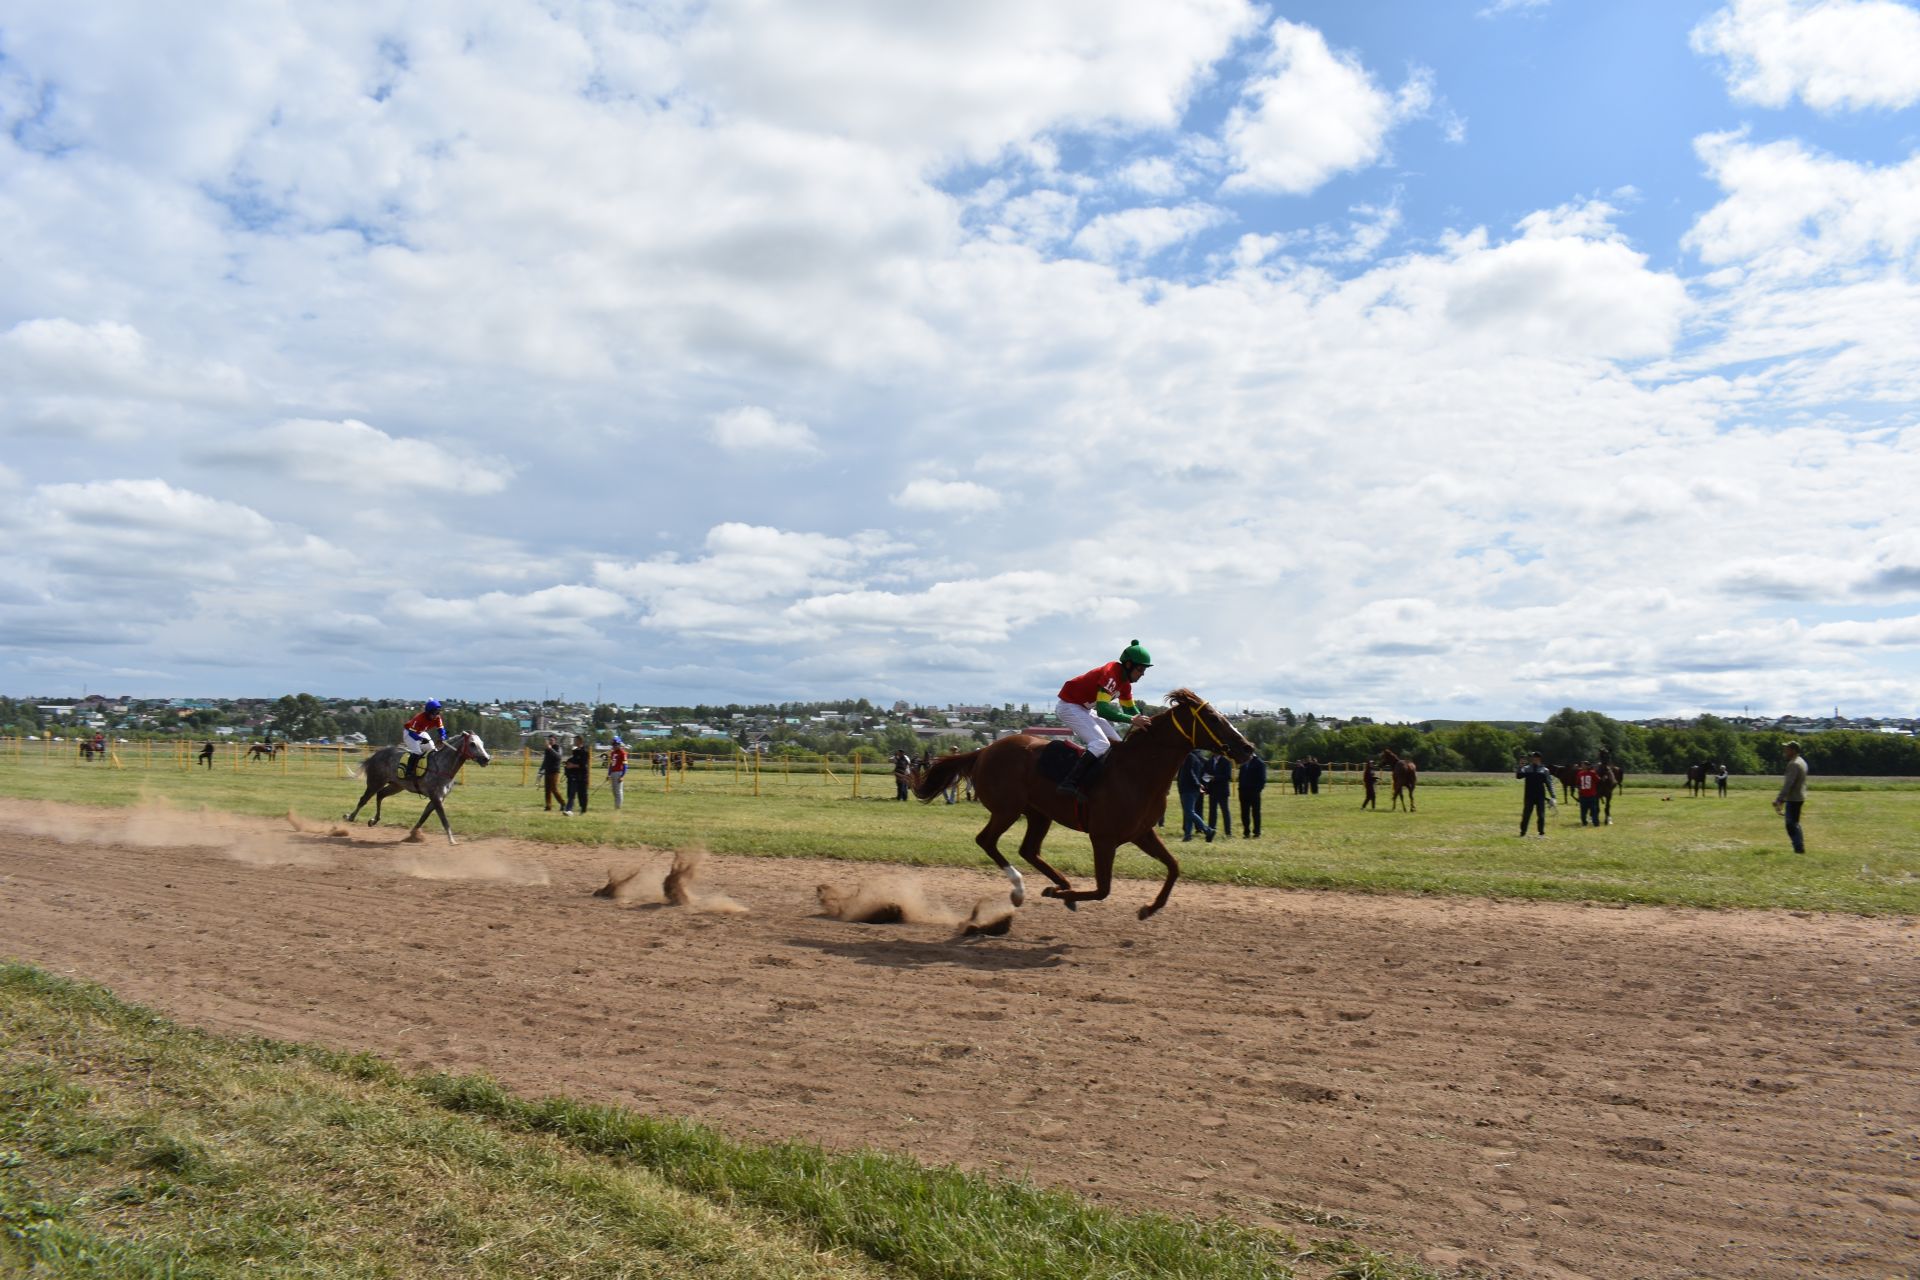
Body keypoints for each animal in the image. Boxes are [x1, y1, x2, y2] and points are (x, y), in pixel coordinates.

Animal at [345, 736, 495, 844]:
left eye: (481, 743)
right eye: (472, 744)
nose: (486, 759)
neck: (442, 766)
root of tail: (375, 755)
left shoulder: (437, 799)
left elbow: (424, 816)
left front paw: (413, 834)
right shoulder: (436, 797)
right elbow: (444, 819)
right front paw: (452, 840)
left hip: (396, 786)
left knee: (380, 795)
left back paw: (374, 820)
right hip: (375, 782)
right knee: (364, 799)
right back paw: (350, 816)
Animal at [913, 690, 1259, 921]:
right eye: (1213, 718)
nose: (1247, 748)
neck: (1137, 771)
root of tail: (983, 751)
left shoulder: (1142, 833)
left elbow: (1173, 867)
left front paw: (1149, 908)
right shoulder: (1103, 839)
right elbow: (1103, 889)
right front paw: (1063, 895)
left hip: (1038, 814)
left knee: (1029, 850)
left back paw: (1059, 883)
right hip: (1007, 810)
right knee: (987, 841)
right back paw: (1022, 889)